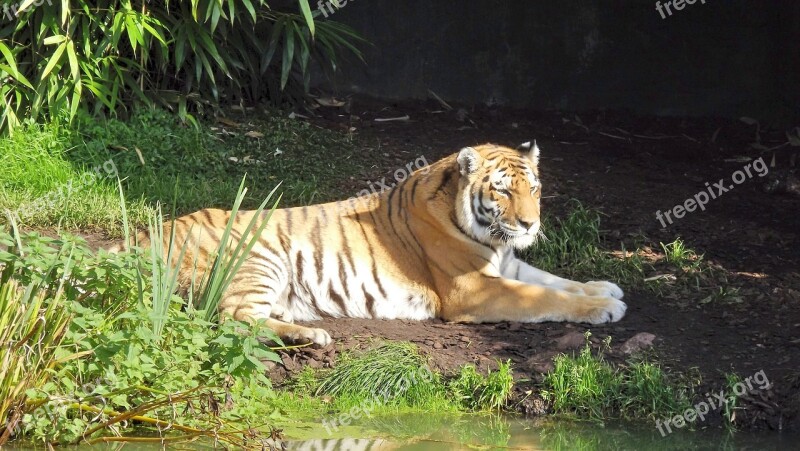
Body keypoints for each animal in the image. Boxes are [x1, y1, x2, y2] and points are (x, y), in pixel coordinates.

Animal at [122, 143, 628, 348]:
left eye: (535, 189)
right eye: (502, 190)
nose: (529, 224)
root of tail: (146, 234)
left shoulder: (507, 266)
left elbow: (558, 281)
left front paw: (605, 287)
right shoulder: (475, 289)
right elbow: (544, 297)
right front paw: (605, 308)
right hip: (258, 260)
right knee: (231, 318)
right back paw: (311, 335)